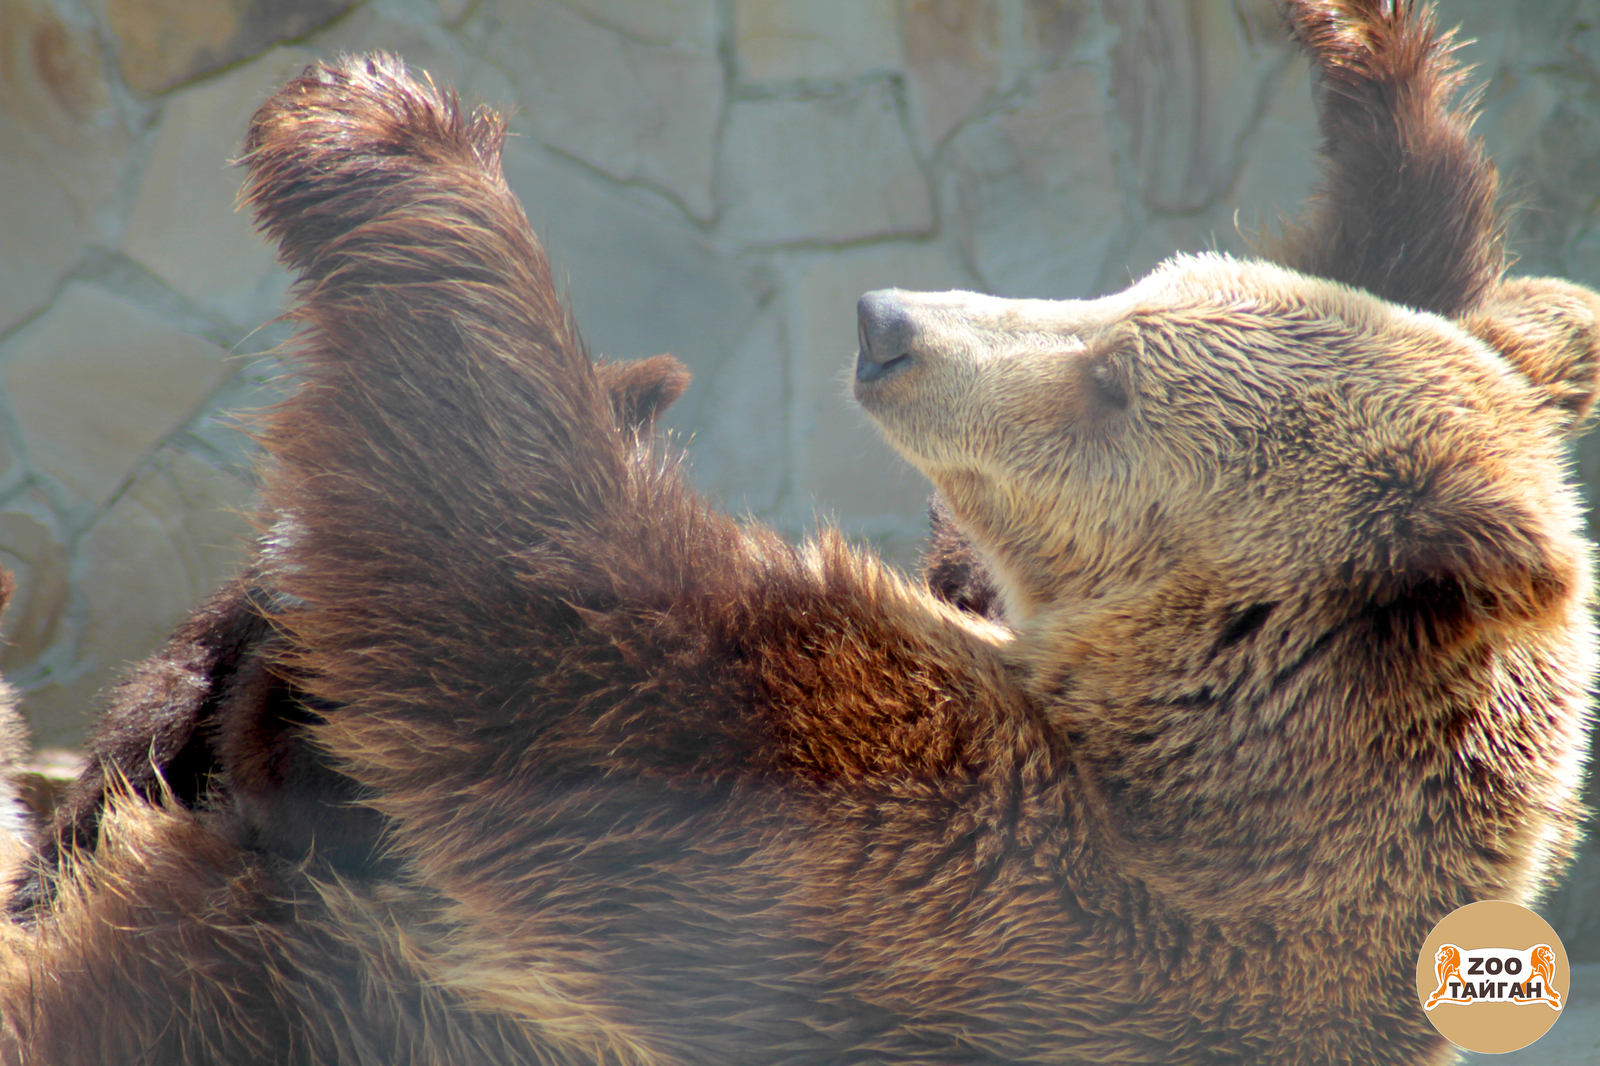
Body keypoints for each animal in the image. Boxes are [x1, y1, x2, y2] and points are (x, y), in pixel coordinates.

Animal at [0, 2, 1593, 1062]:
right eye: (1129, 290)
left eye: (1112, 374)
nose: (889, 321)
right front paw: (1367, 75)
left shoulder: (971, 889)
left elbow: (557, 631)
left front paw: (384, 126)